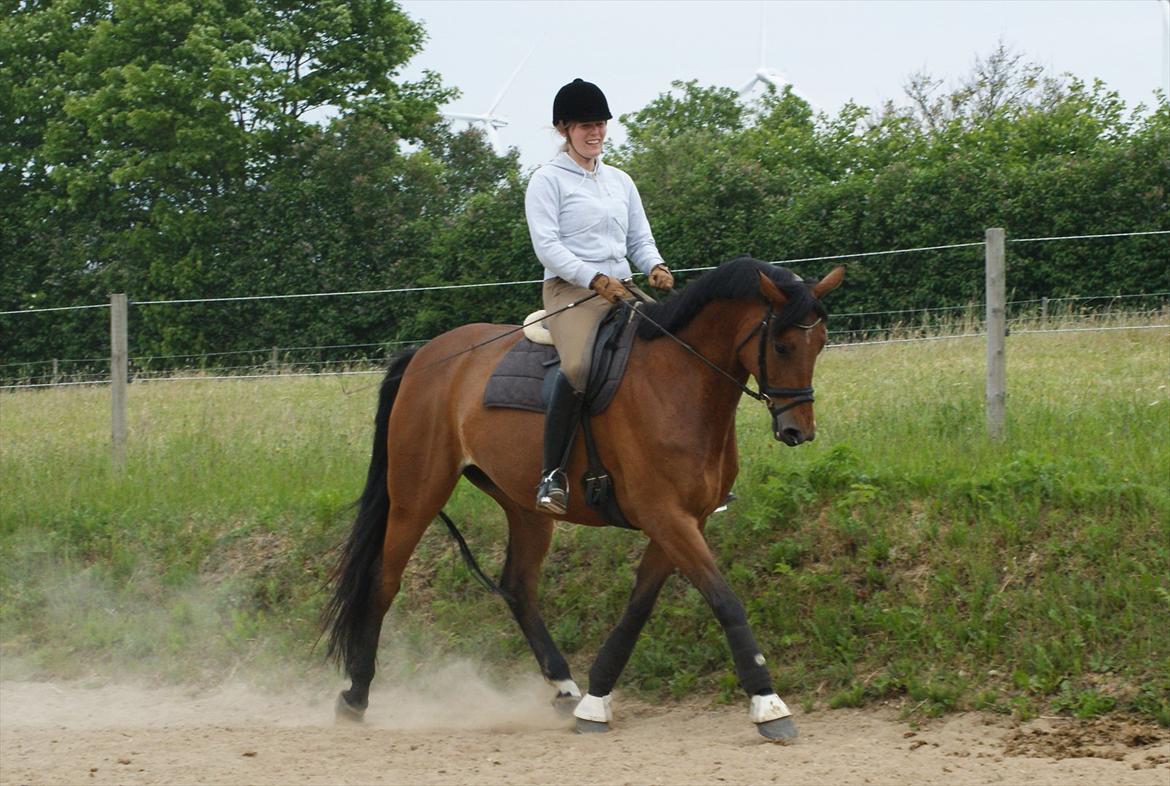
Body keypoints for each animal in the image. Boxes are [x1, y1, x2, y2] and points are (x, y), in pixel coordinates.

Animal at [325, 256, 847, 739]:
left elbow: (637, 609)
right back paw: (356, 695)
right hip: (417, 493)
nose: (797, 431)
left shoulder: (684, 520)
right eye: (781, 344)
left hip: (524, 507)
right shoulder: (667, 517)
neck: (678, 380)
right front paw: (768, 703)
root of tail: (425, 356)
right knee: (384, 580)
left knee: (518, 587)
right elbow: (725, 601)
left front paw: (596, 700)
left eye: (820, 343)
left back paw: (564, 688)